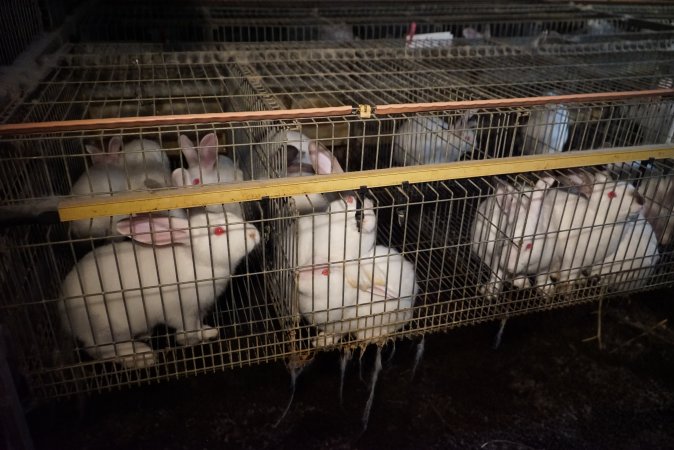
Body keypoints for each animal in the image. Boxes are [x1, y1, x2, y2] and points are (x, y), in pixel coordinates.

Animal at [59, 211, 258, 370]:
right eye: (218, 231)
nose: (254, 233)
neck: (196, 260)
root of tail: (64, 313)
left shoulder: (199, 310)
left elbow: (198, 326)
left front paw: (208, 332)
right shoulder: (183, 312)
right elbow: (188, 330)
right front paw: (190, 340)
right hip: (107, 328)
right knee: (103, 350)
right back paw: (141, 356)